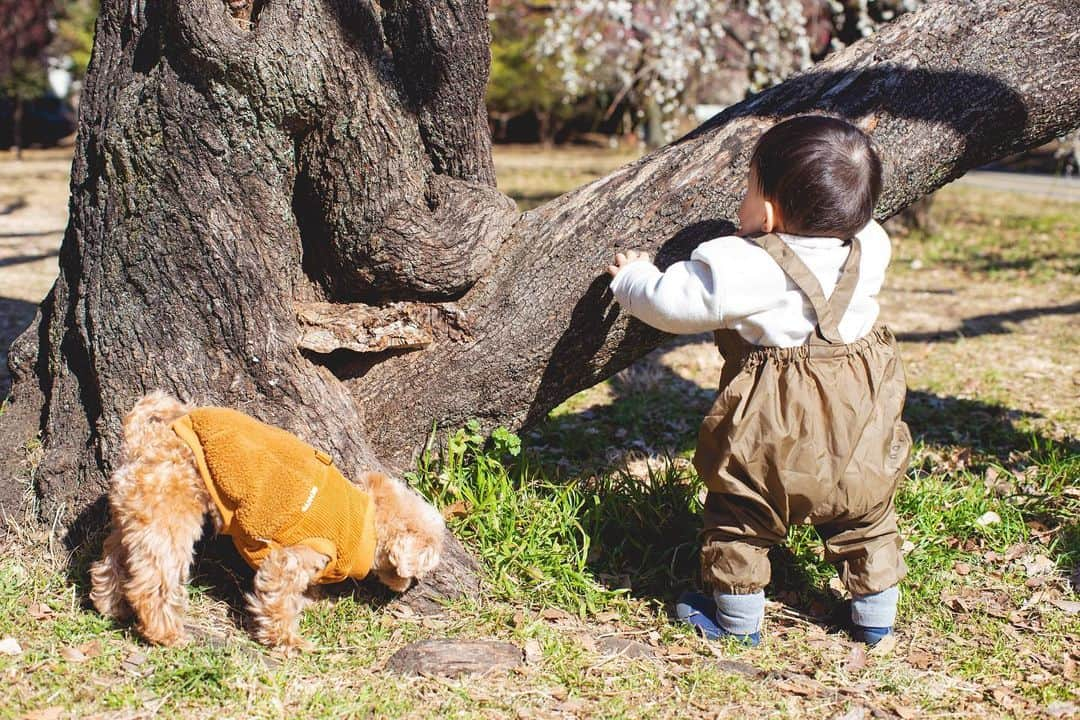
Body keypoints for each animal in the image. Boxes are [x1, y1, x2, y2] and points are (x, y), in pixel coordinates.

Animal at [90, 390, 444, 651]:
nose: (410, 586)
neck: (368, 522)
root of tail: (146, 440)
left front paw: (316, 603)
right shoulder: (291, 559)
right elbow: (280, 600)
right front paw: (289, 641)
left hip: (136, 516)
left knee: (112, 560)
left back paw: (109, 605)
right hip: (171, 517)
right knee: (152, 581)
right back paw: (166, 634)